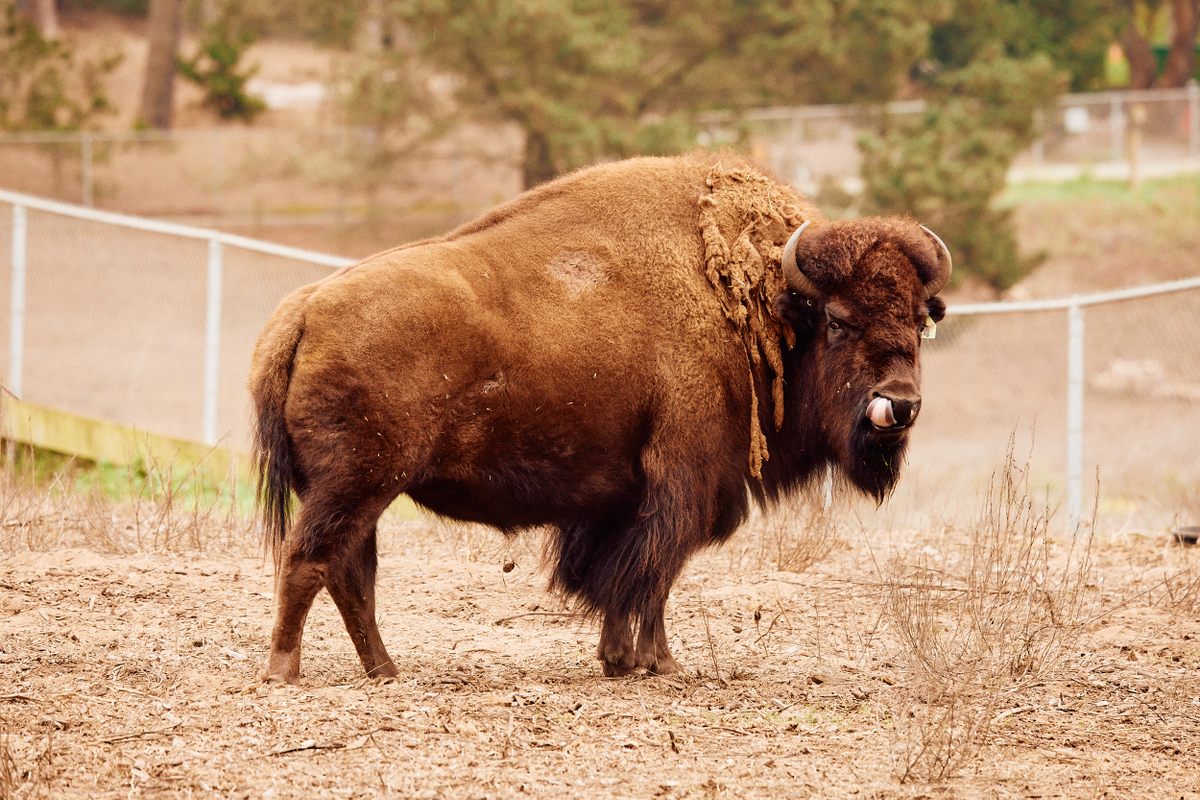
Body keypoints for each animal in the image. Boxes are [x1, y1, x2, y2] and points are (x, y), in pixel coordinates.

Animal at [250, 153, 945, 686]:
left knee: (350, 573)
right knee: (311, 558)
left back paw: (384, 670)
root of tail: (302, 310)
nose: (899, 404)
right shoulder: (682, 483)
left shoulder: (626, 499)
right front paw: (655, 662)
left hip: (356, 491)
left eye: (919, 321)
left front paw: (620, 658)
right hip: (357, 484)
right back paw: (285, 670)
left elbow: (626, 576)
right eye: (839, 321)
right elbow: (653, 574)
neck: (762, 309)